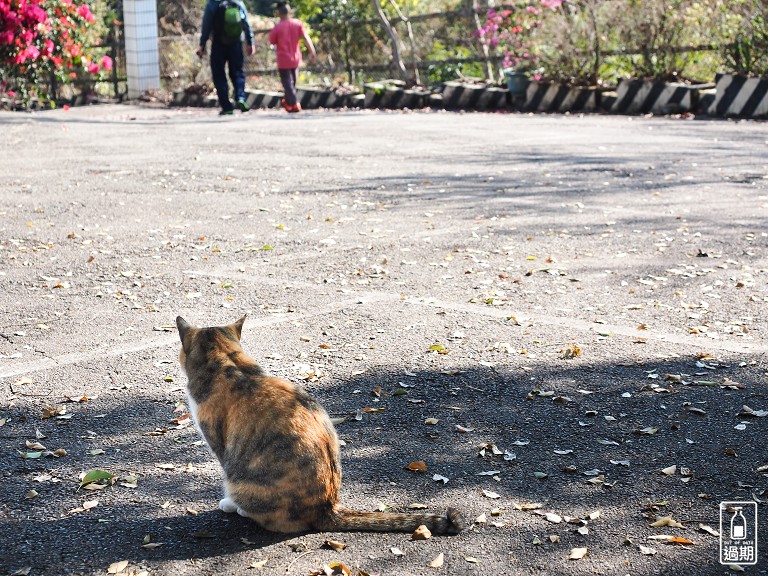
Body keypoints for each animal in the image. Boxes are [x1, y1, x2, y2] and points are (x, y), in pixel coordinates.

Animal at [176, 316, 462, 536]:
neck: (228, 360)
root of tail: (328, 508)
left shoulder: (219, 442)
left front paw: (228, 504)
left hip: (239, 479)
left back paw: (237, 507)